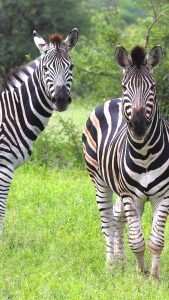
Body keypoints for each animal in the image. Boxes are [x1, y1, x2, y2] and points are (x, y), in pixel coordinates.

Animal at [83, 45, 169, 280]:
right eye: (124, 86)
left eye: (153, 86)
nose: (138, 125)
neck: (144, 153)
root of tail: (112, 100)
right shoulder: (132, 196)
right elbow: (137, 241)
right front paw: (141, 274)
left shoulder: (163, 195)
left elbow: (156, 241)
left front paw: (154, 277)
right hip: (100, 181)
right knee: (108, 223)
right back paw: (111, 265)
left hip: (120, 189)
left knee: (118, 218)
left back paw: (121, 263)